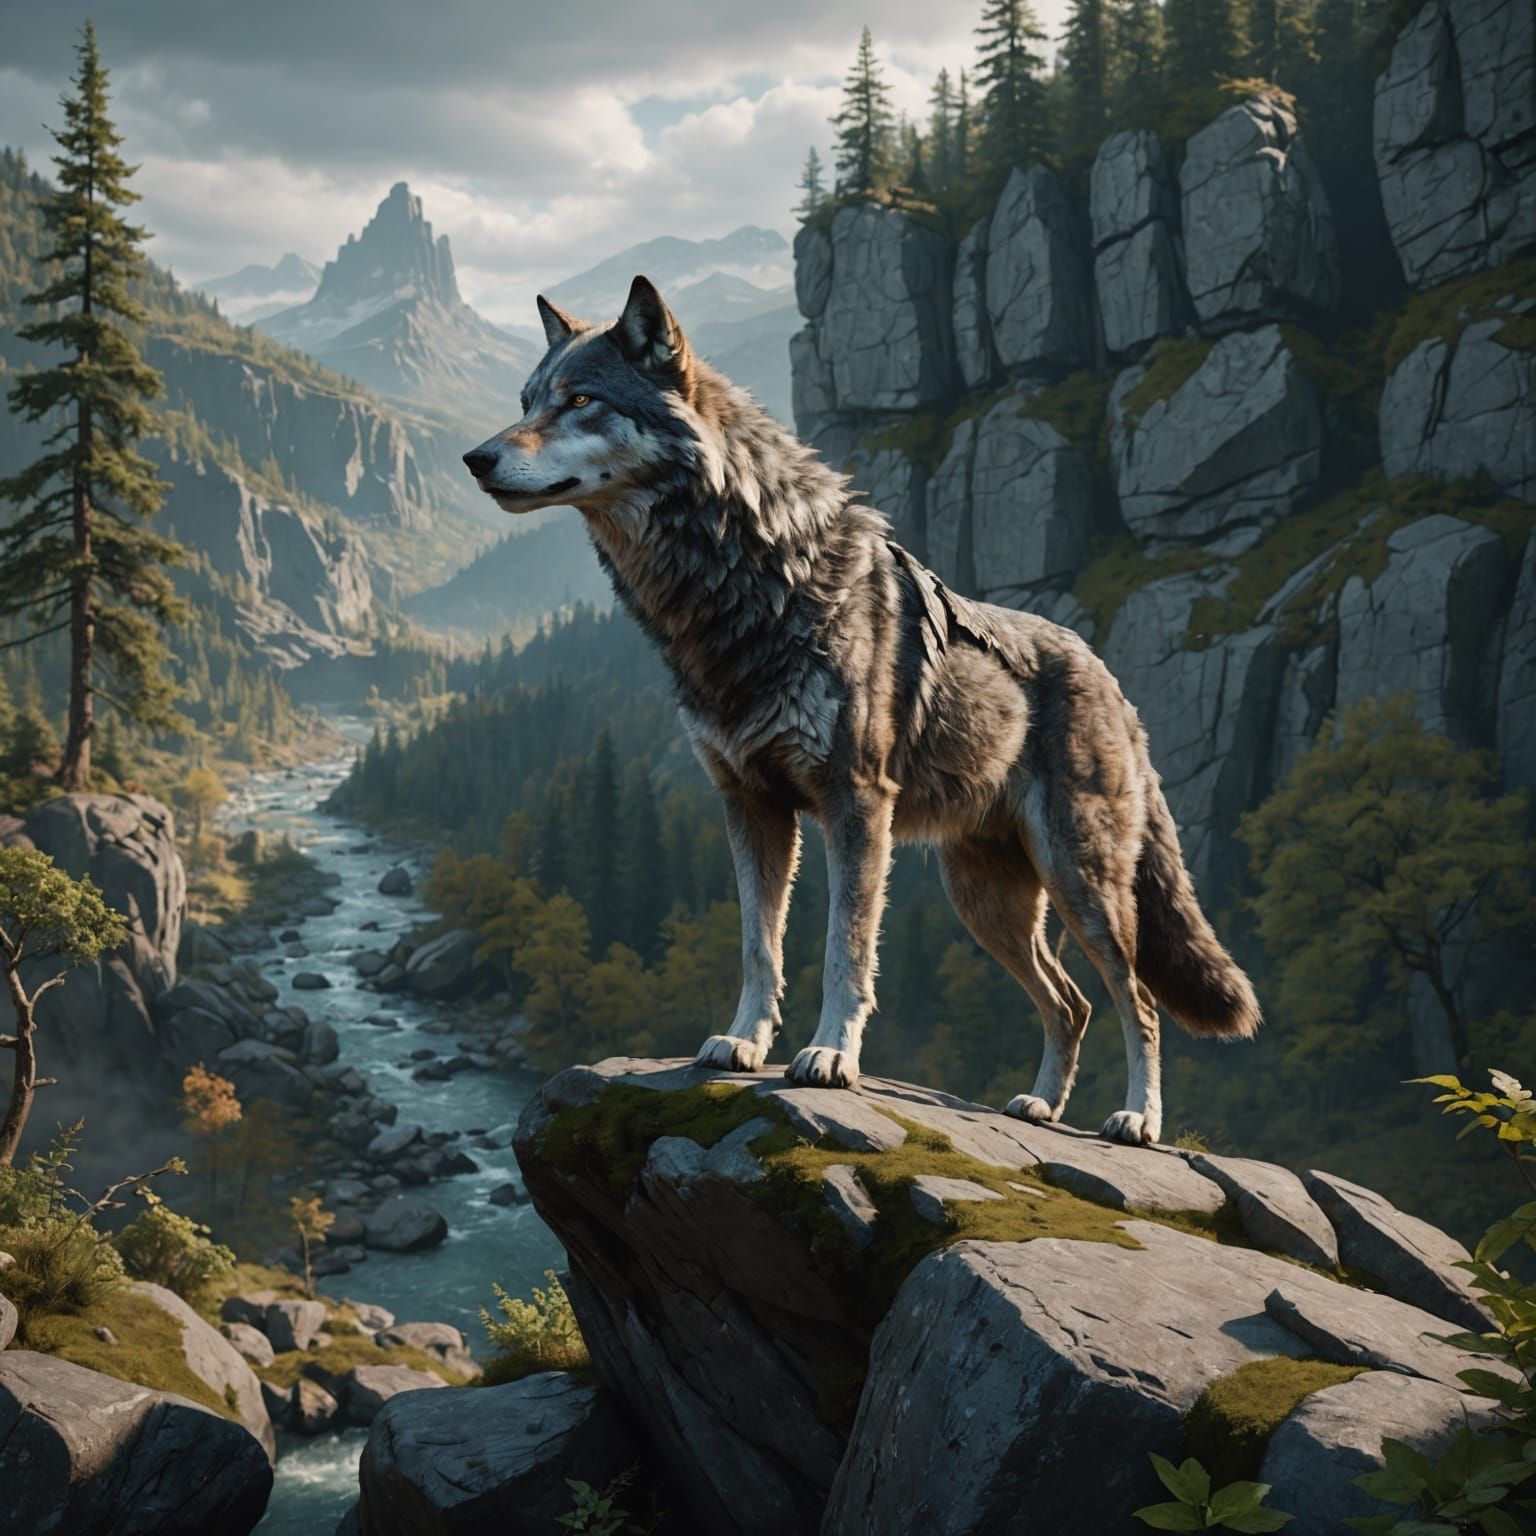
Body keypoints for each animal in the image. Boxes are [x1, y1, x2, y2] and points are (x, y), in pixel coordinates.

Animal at [462, 276, 1260, 1144]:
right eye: (528, 399)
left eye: (580, 401)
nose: (476, 459)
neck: (743, 587)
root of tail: (1111, 678)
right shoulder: (749, 805)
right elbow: (760, 946)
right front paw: (743, 1043)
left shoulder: (857, 805)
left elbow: (846, 948)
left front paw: (830, 1058)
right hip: (985, 903)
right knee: (1071, 1002)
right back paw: (1041, 1106)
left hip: (1080, 884)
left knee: (1136, 1001)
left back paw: (1136, 1118)